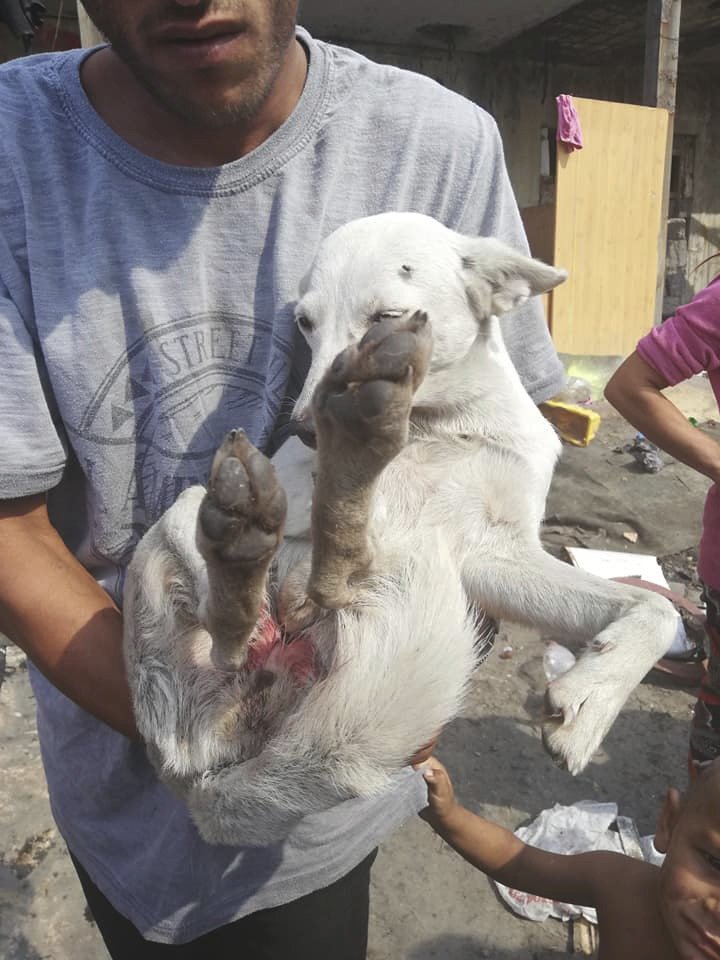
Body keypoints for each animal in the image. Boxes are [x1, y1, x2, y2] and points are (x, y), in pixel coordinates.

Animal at [121, 214, 676, 844]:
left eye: (385, 319)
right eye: (306, 323)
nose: (307, 427)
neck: (443, 427)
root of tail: (199, 785)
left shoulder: (493, 556)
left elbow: (659, 608)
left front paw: (590, 702)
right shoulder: (299, 481)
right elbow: (331, 505)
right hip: (187, 523)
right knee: (242, 598)